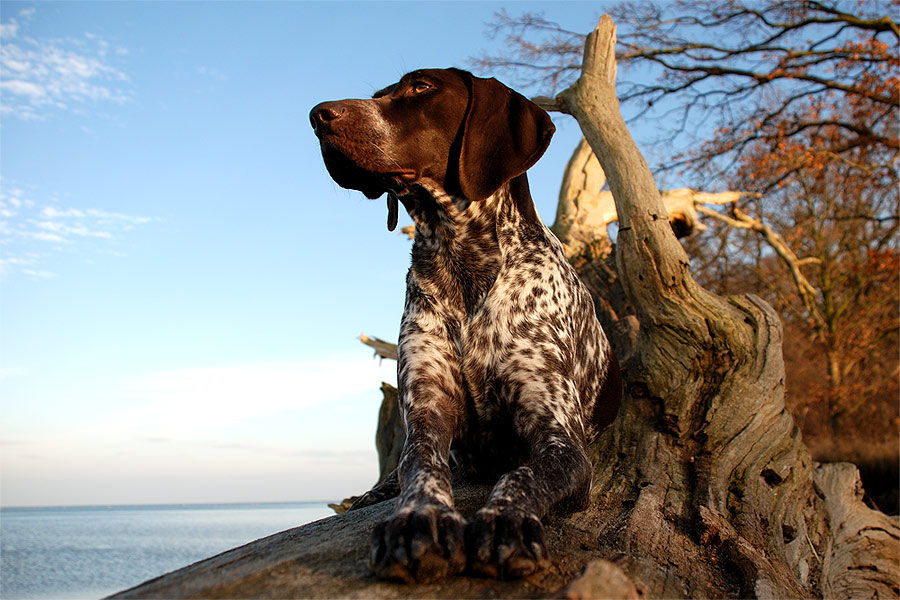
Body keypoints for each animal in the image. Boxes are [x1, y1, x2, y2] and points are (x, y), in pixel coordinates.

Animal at [310, 69, 620, 580]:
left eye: (421, 87)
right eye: (378, 95)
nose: (317, 115)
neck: (461, 262)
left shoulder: (561, 440)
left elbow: (521, 475)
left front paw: (504, 520)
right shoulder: (427, 407)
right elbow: (419, 465)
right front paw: (421, 518)